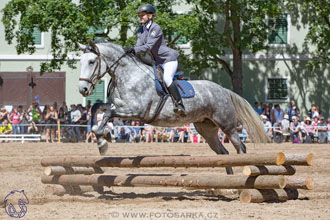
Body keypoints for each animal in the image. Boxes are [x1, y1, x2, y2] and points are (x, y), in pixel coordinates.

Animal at [78, 40, 266, 174]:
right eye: (80, 62)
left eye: (92, 61)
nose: (83, 89)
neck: (128, 75)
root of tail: (224, 90)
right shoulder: (120, 106)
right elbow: (97, 108)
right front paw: (99, 134)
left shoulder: (136, 111)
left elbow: (108, 113)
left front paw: (103, 141)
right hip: (206, 129)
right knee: (223, 153)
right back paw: (232, 186)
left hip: (227, 125)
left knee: (240, 148)